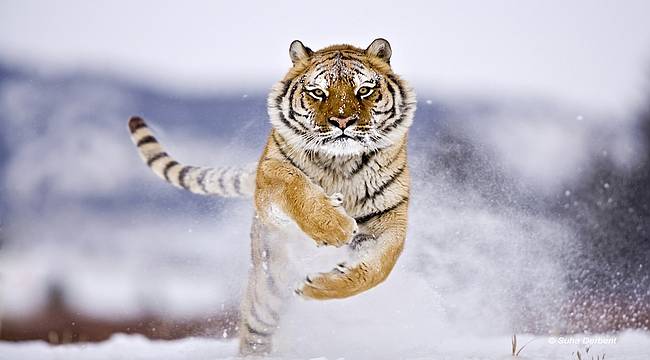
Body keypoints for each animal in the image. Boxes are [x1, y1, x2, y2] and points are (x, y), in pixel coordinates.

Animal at [126, 38, 416, 354]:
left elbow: (378, 268)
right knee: (255, 331)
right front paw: (335, 226)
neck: (340, 162)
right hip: (269, 285)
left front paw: (320, 285)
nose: (342, 121)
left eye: (364, 90)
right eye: (318, 92)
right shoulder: (269, 177)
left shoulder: (389, 216)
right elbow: (293, 184)